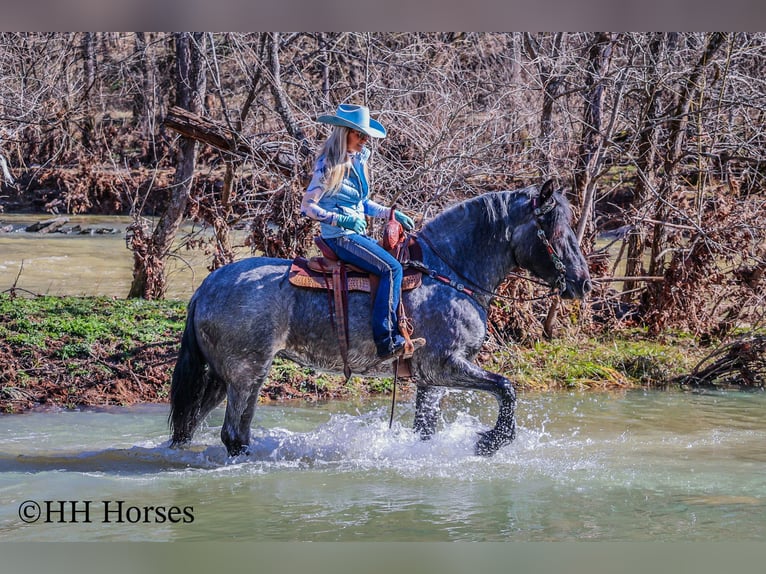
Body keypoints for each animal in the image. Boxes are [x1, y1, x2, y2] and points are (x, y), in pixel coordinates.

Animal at [171, 180, 592, 460]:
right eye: (554, 229)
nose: (582, 282)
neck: (448, 274)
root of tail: (205, 287)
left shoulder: (430, 379)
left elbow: (426, 430)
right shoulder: (445, 366)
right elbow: (506, 388)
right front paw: (490, 441)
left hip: (226, 378)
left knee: (195, 427)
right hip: (246, 374)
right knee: (232, 434)